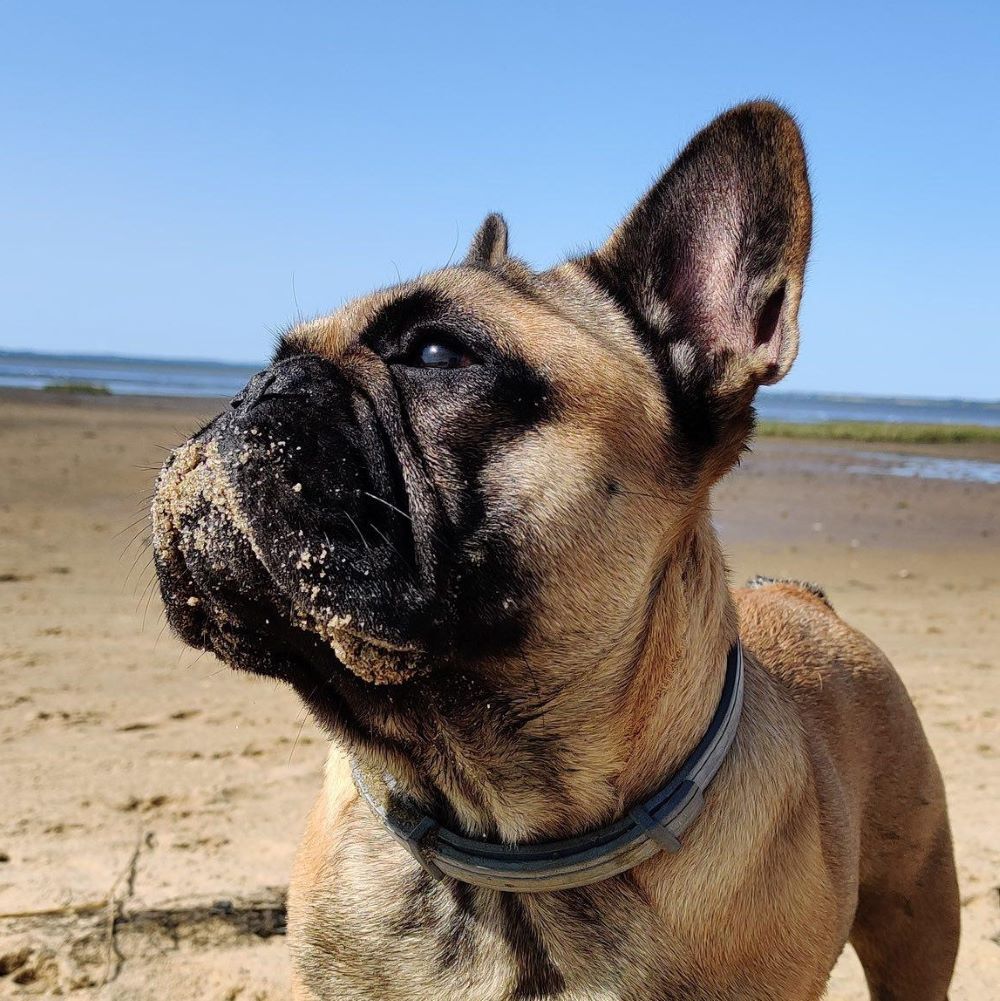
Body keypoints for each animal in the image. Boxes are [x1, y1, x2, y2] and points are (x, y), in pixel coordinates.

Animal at [152, 105, 956, 996]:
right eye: (274, 356)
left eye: (436, 353)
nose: (259, 388)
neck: (504, 840)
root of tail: (804, 595)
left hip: (917, 920)